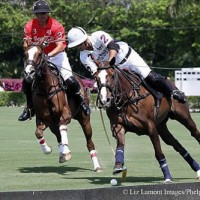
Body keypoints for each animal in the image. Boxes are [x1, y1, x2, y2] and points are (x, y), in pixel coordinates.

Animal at [23, 41, 101, 172]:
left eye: (39, 54)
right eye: (25, 54)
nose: (29, 73)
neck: (46, 89)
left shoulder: (66, 114)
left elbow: (63, 127)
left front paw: (65, 151)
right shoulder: (43, 119)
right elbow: (38, 132)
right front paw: (47, 150)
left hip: (84, 119)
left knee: (89, 142)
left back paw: (97, 166)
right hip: (53, 124)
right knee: (58, 135)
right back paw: (62, 154)